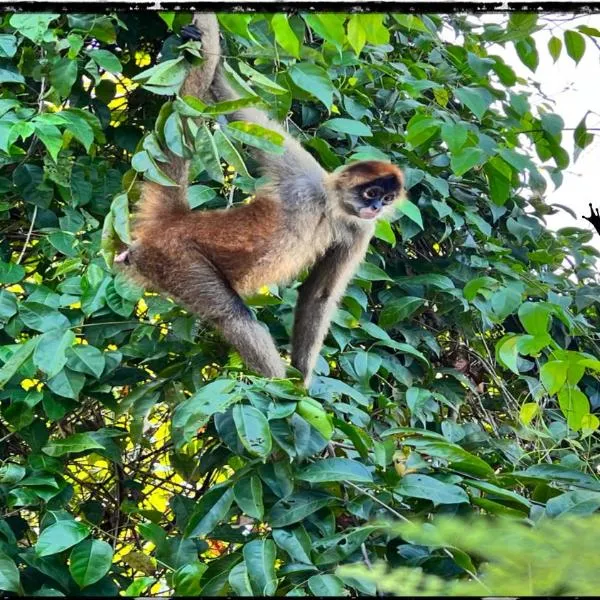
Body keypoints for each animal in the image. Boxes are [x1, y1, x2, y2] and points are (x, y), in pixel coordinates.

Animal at [118, 15, 404, 390]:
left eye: (387, 199)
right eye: (371, 193)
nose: (376, 208)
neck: (327, 209)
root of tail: (177, 220)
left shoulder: (359, 229)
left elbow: (319, 295)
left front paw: (301, 382)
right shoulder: (304, 175)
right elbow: (242, 113)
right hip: (174, 258)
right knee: (232, 315)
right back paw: (275, 384)